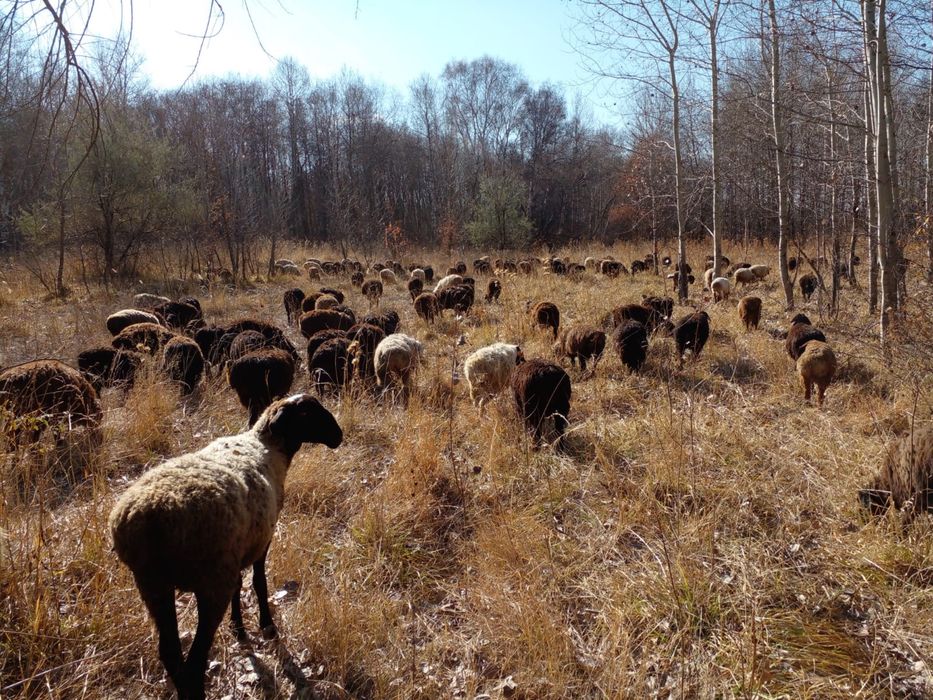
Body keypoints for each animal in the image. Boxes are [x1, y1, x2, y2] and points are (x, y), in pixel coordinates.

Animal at [109, 393, 342, 700]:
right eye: (308, 413)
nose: (338, 435)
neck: (268, 446)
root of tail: (148, 518)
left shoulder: (238, 550)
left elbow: (239, 585)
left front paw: (238, 628)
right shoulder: (262, 539)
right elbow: (258, 582)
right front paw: (266, 625)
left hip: (153, 585)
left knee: (170, 654)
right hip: (210, 583)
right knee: (194, 662)